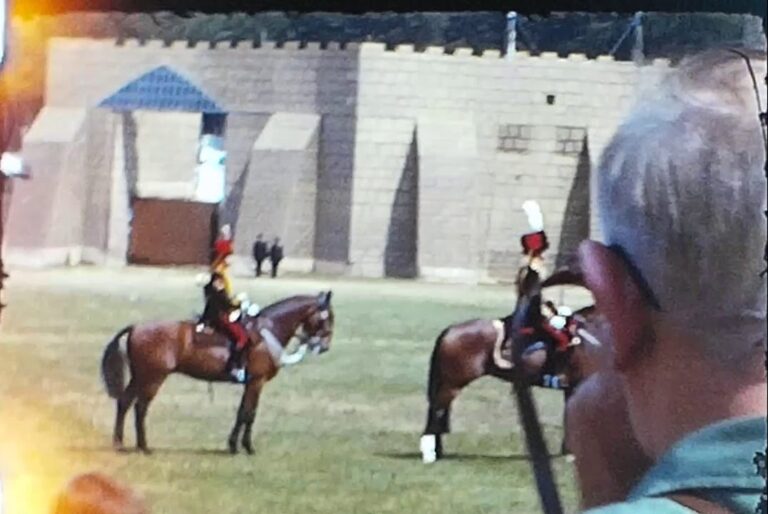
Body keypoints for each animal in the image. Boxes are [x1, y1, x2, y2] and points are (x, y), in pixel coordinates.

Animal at [99, 290, 332, 454]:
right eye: (327, 317)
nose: (325, 347)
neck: (268, 332)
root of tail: (136, 327)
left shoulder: (250, 383)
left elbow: (242, 412)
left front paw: (234, 445)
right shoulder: (257, 382)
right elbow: (249, 414)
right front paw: (246, 447)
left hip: (140, 377)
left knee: (124, 403)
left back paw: (120, 444)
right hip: (152, 378)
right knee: (140, 408)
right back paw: (144, 446)